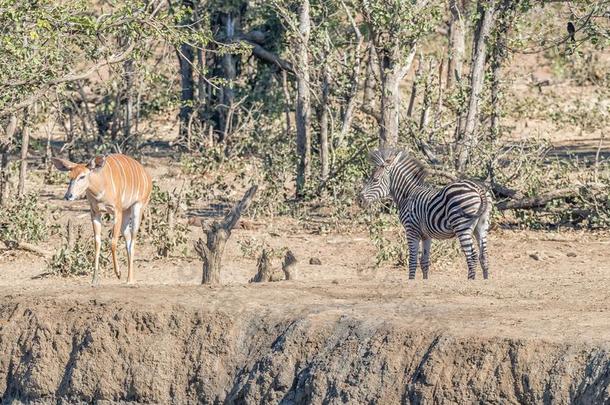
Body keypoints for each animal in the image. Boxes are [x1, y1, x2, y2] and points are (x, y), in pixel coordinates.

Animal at [52, 153, 152, 282]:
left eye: (82, 176)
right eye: (70, 176)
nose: (68, 196)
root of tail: (147, 175)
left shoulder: (117, 211)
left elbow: (113, 242)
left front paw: (118, 273)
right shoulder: (95, 213)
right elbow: (97, 242)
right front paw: (94, 279)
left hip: (137, 207)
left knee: (133, 240)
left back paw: (129, 279)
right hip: (126, 213)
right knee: (128, 239)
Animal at [354, 149, 492, 280]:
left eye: (375, 179)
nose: (359, 200)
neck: (408, 194)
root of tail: (478, 188)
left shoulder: (411, 230)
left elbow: (412, 260)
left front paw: (411, 281)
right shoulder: (426, 235)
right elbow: (424, 262)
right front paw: (425, 281)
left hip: (462, 226)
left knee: (472, 256)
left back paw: (470, 281)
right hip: (481, 226)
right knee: (483, 255)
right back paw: (485, 280)